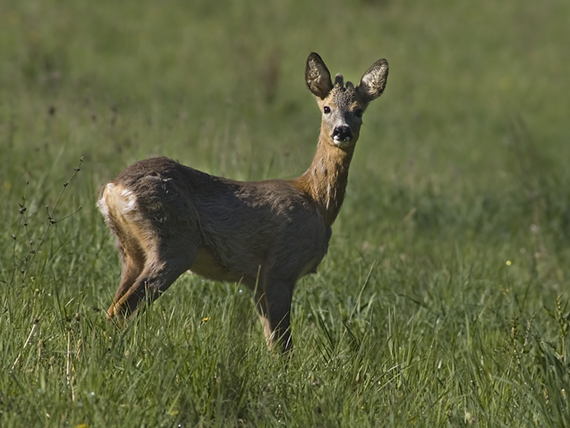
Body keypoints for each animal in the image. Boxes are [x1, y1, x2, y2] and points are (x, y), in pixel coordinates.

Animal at [100, 52, 388, 352]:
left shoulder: (257, 281)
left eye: (358, 110)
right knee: (122, 309)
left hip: (130, 251)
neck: (317, 202)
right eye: (327, 108)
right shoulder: (280, 268)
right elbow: (283, 344)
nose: (342, 131)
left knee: (111, 309)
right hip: (173, 243)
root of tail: (113, 188)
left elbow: (272, 342)